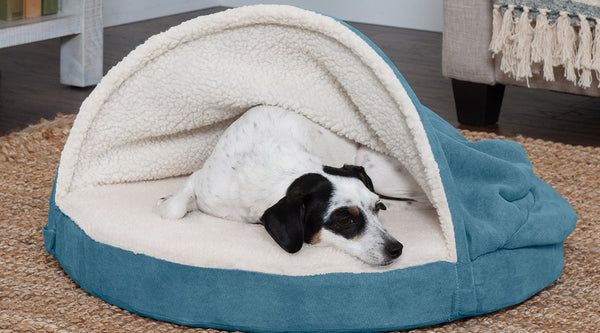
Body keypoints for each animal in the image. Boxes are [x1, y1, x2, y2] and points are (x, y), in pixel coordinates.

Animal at [157, 105, 414, 266]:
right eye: (345, 220)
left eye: (377, 208)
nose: (397, 248)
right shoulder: (203, 181)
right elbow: (173, 210)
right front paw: (168, 200)